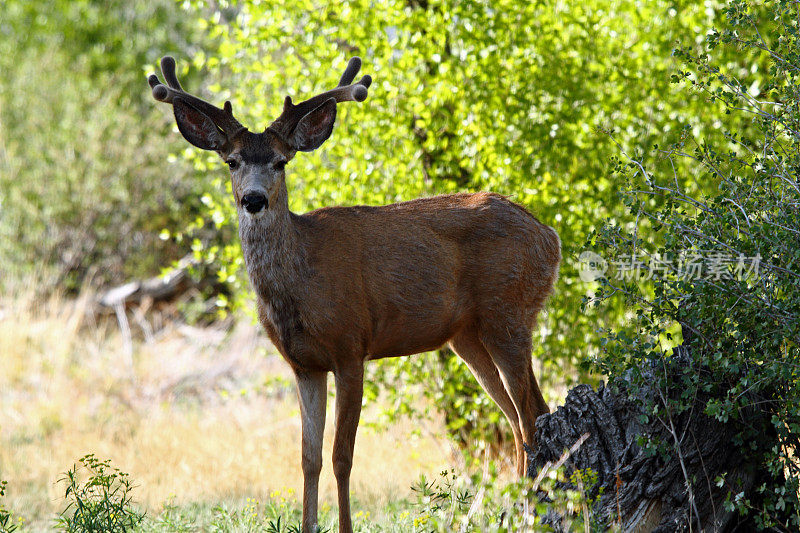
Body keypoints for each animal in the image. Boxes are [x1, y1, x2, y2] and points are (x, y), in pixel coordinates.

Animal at [150, 55, 564, 532]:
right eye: (232, 161)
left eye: (280, 162)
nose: (254, 200)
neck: (300, 285)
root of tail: (551, 237)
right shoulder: (304, 365)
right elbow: (308, 458)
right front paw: (308, 525)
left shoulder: (351, 347)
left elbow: (341, 457)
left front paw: (344, 525)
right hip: (466, 335)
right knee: (516, 418)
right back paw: (509, 511)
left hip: (508, 312)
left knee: (533, 412)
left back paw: (532, 511)